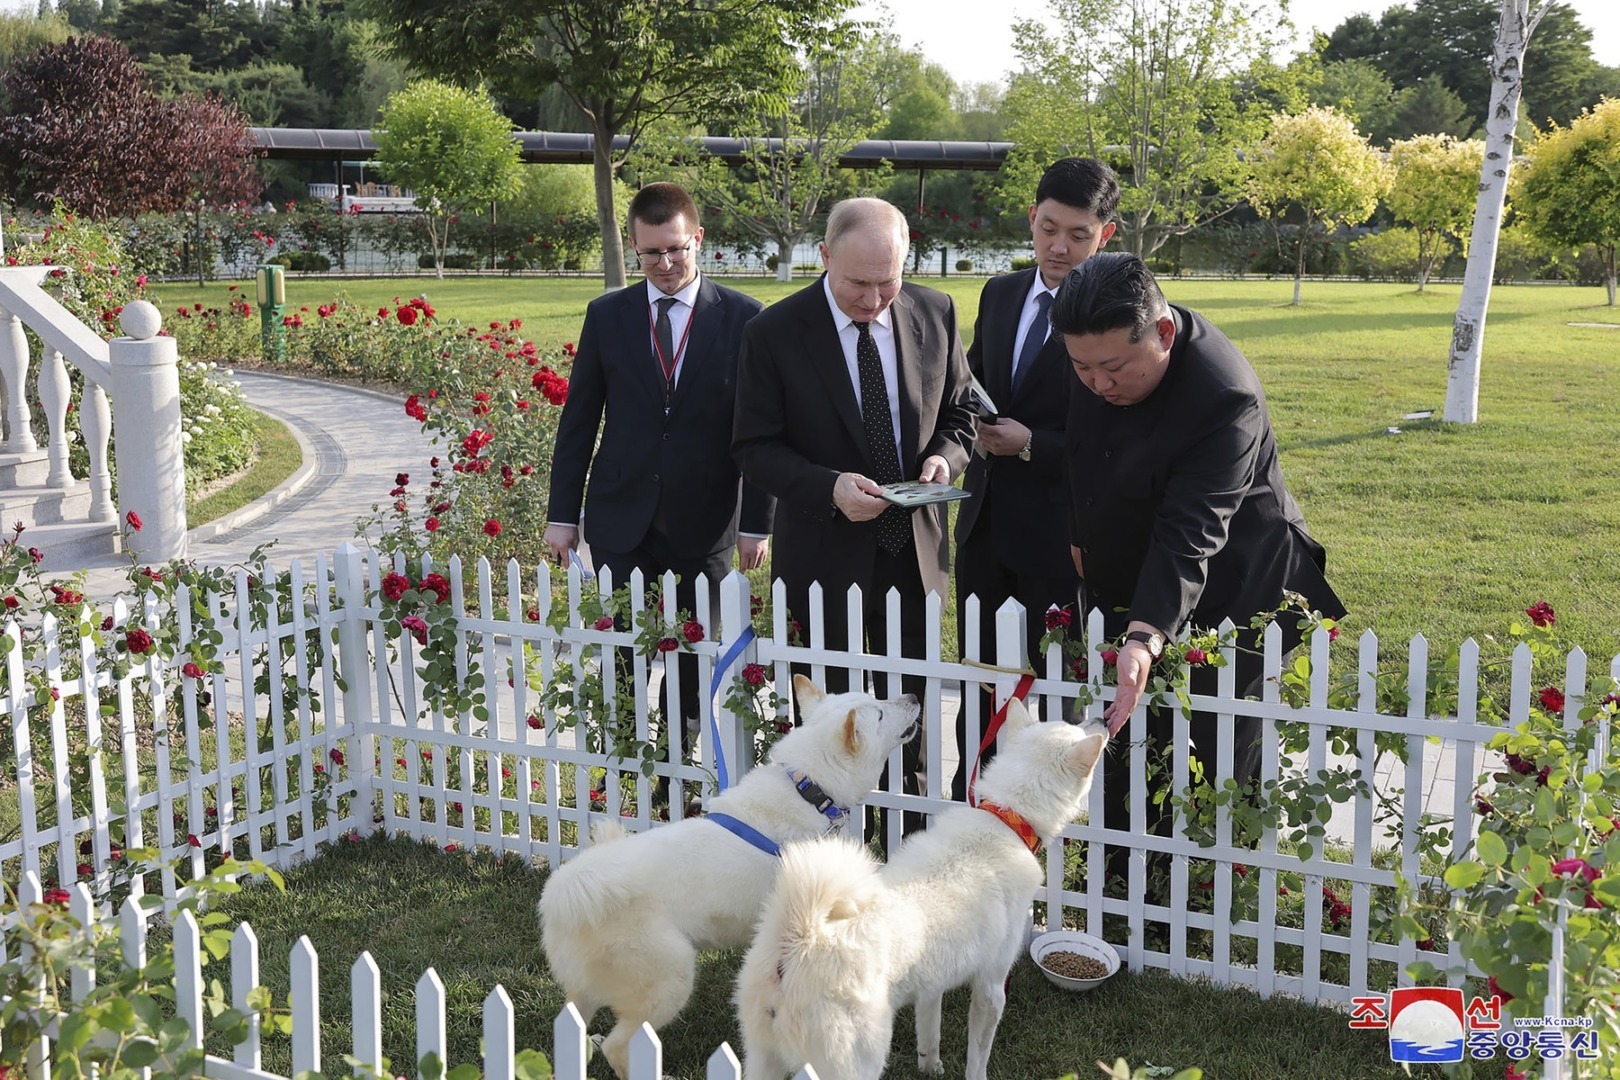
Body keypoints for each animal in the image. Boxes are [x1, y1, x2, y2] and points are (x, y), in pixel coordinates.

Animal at [537, 670, 920, 1075]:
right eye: (880, 713)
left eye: (876, 701)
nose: (913, 695)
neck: (810, 789)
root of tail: (565, 891)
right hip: (672, 978)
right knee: (618, 1045)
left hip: (587, 990)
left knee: (574, 1025)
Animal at [738, 702, 1108, 1080]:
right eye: (1075, 729)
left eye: (1063, 722)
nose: (1103, 719)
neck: (1005, 818)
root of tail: (802, 937)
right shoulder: (991, 988)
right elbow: (978, 1058)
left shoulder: (932, 985)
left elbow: (930, 1031)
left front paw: (930, 1067)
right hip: (856, 1064)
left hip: (762, 1060)